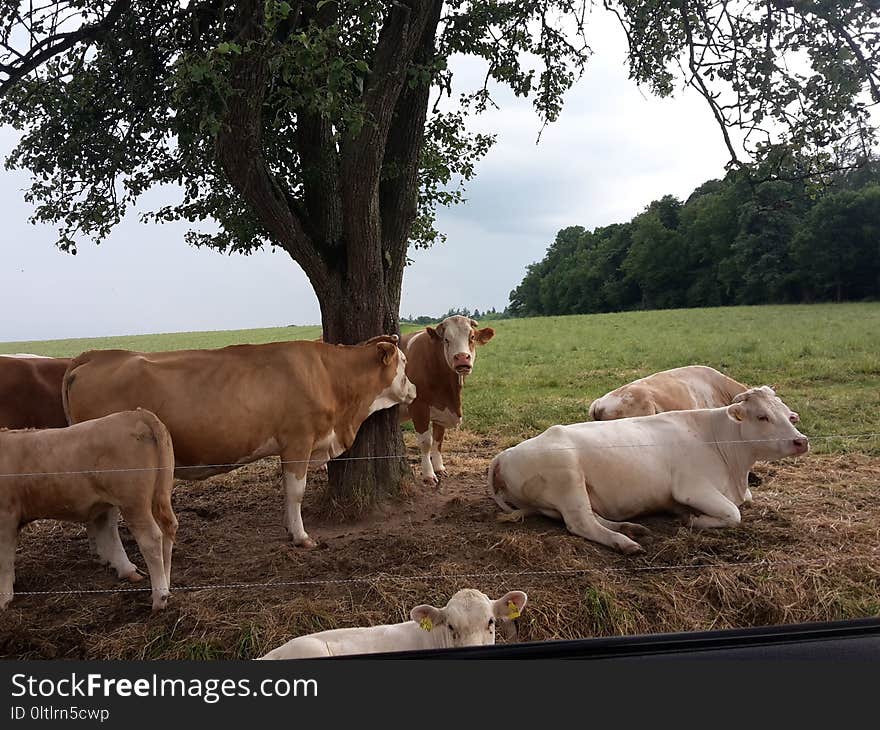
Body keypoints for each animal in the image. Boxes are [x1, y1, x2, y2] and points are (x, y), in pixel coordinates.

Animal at [0, 410, 179, 608]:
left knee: (151, 539)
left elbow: (4, 559)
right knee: (168, 529)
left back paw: (159, 597)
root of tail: (136, 414)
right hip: (159, 494)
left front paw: (3, 598)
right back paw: (165, 586)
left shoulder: (6, 516)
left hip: (134, 503)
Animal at [63, 336, 414, 544]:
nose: (413, 389)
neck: (328, 376)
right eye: (405, 363)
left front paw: (290, 528)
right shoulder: (298, 440)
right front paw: (301, 536)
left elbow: (286, 491)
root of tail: (97, 356)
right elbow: (296, 492)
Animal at [400, 312, 496, 484]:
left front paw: (439, 468)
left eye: (472, 337)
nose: (462, 358)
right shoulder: (418, 406)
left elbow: (438, 439)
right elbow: (426, 442)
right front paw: (429, 475)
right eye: (446, 339)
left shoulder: (441, 409)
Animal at [492, 386, 808, 552]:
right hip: (568, 478)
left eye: (789, 415)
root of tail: (506, 453)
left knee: (591, 517)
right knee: (581, 523)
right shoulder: (691, 489)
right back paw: (624, 542)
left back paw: (629, 528)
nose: (801, 441)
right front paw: (692, 519)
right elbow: (734, 513)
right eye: (762, 416)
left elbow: (744, 504)